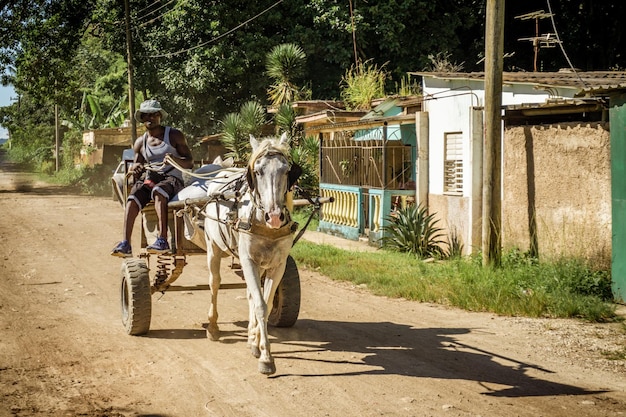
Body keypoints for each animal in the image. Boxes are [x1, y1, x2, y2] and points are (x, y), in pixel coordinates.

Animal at [202, 133, 300, 374]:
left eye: (287, 170)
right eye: (258, 171)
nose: (274, 217)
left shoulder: (277, 265)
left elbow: (265, 302)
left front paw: (257, 344)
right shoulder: (248, 260)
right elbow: (261, 305)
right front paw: (266, 358)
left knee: (249, 294)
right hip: (213, 247)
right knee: (214, 284)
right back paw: (213, 326)